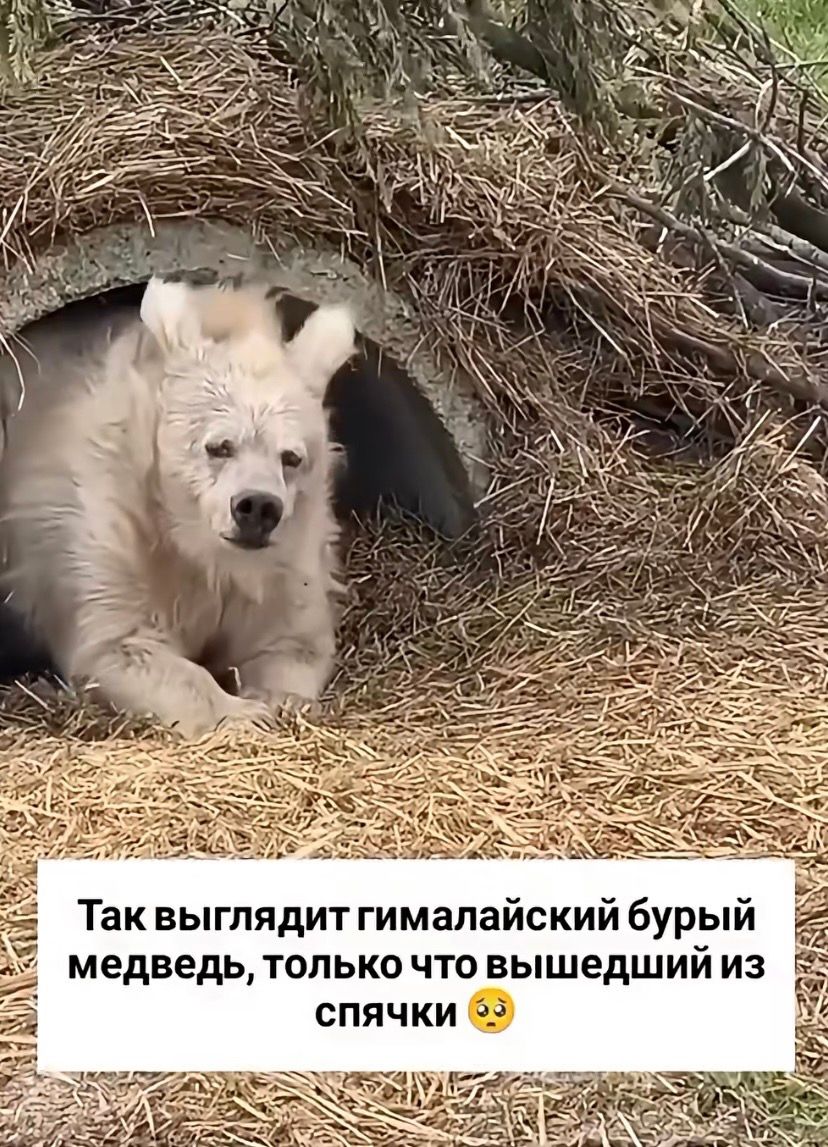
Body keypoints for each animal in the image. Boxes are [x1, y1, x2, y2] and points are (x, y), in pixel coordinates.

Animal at [0, 271, 357, 737]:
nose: (258, 507)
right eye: (219, 446)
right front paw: (242, 713)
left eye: (291, 457)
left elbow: (292, 639)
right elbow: (123, 643)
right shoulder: (113, 530)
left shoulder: (289, 556)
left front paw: (274, 699)